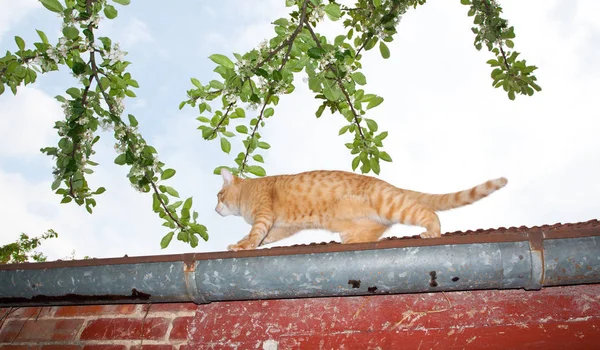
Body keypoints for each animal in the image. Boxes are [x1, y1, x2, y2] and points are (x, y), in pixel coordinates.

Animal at [216, 168, 506, 250]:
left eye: (218, 195)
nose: (215, 208)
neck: (249, 188)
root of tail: (388, 184)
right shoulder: (281, 227)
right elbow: (262, 237)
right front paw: (242, 243)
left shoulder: (265, 215)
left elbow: (254, 234)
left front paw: (242, 246)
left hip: (392, 204)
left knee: (429, 213)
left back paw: (432, 232)